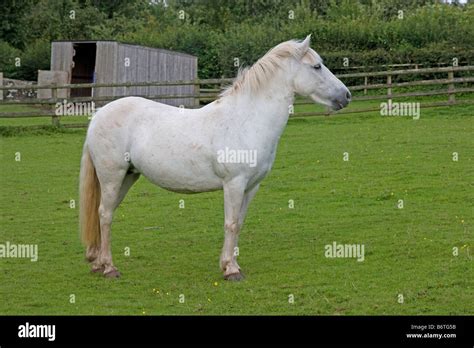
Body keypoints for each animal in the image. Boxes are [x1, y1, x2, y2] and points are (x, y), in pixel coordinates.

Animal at [79, 35, 350, 280]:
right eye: (317, 66)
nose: (346, 95)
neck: (246, 120)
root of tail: (98, 115)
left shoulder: (251, 186)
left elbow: (239, 223)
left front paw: (232, 264)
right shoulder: (234, 184)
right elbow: (230, 223)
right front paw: (231, 270)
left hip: (127, 176)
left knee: (105, 213)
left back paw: (98, 263)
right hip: (112, 176)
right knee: (105, 215)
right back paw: (110, 268)